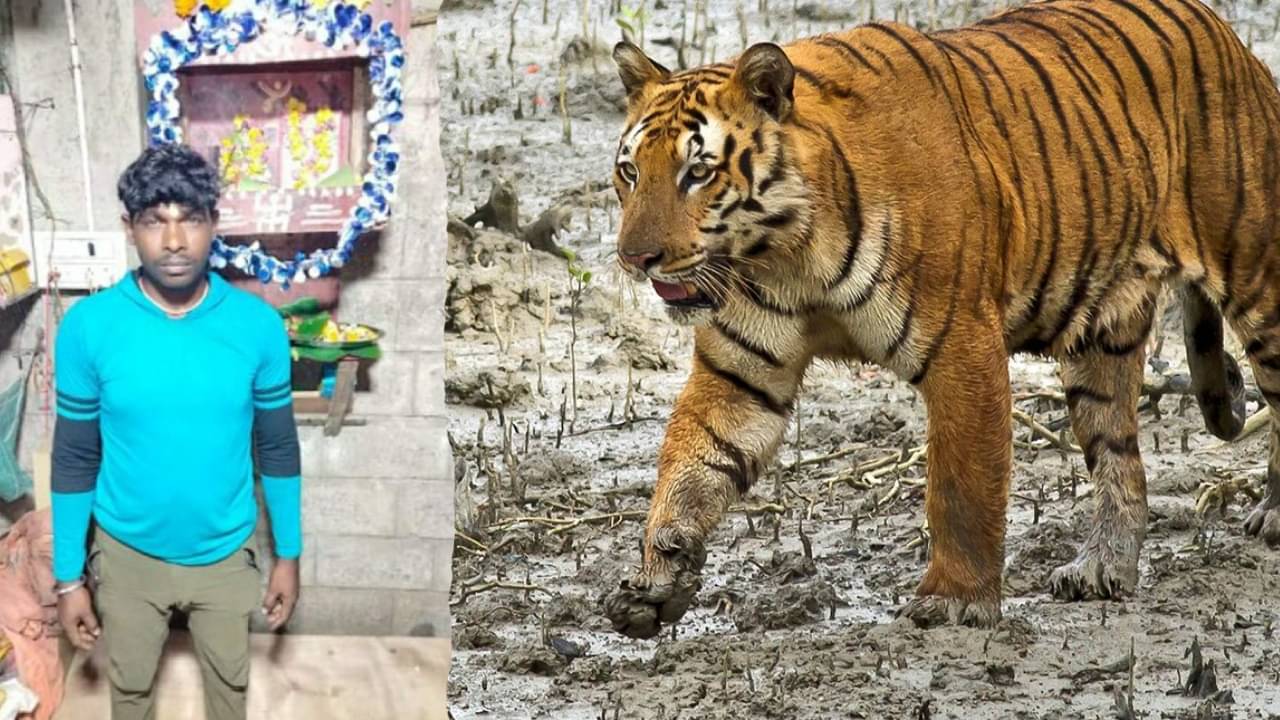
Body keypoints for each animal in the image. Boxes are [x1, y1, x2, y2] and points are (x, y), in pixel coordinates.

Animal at [599, 0, 1280, 639]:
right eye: (630, 171)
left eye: (698, 172)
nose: (635, 257)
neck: (787, 254)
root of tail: (1222, 30)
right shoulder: (742, 372)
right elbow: (690, 465)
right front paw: (655, 581)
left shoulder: (961, 348)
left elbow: (959, 486)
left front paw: (953, 600)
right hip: (1100, 339)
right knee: (1121, 460)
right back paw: (1100, 569)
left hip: (1259, 282)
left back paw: (1269, 518)